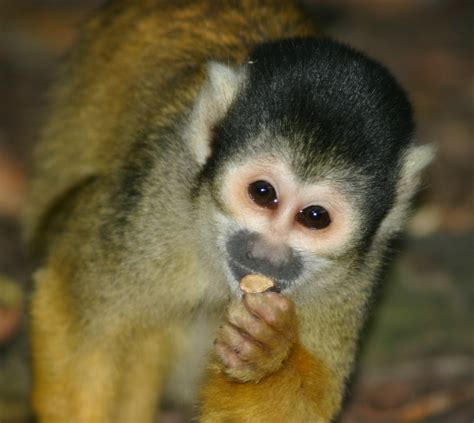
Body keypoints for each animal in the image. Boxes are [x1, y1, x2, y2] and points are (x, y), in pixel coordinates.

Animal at [25, 0, 434, 423]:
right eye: (263, 193)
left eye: (315, 217)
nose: (266, 253)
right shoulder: (154, 195)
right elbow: (75, 319)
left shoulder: (353, 278)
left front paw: (267, 349)